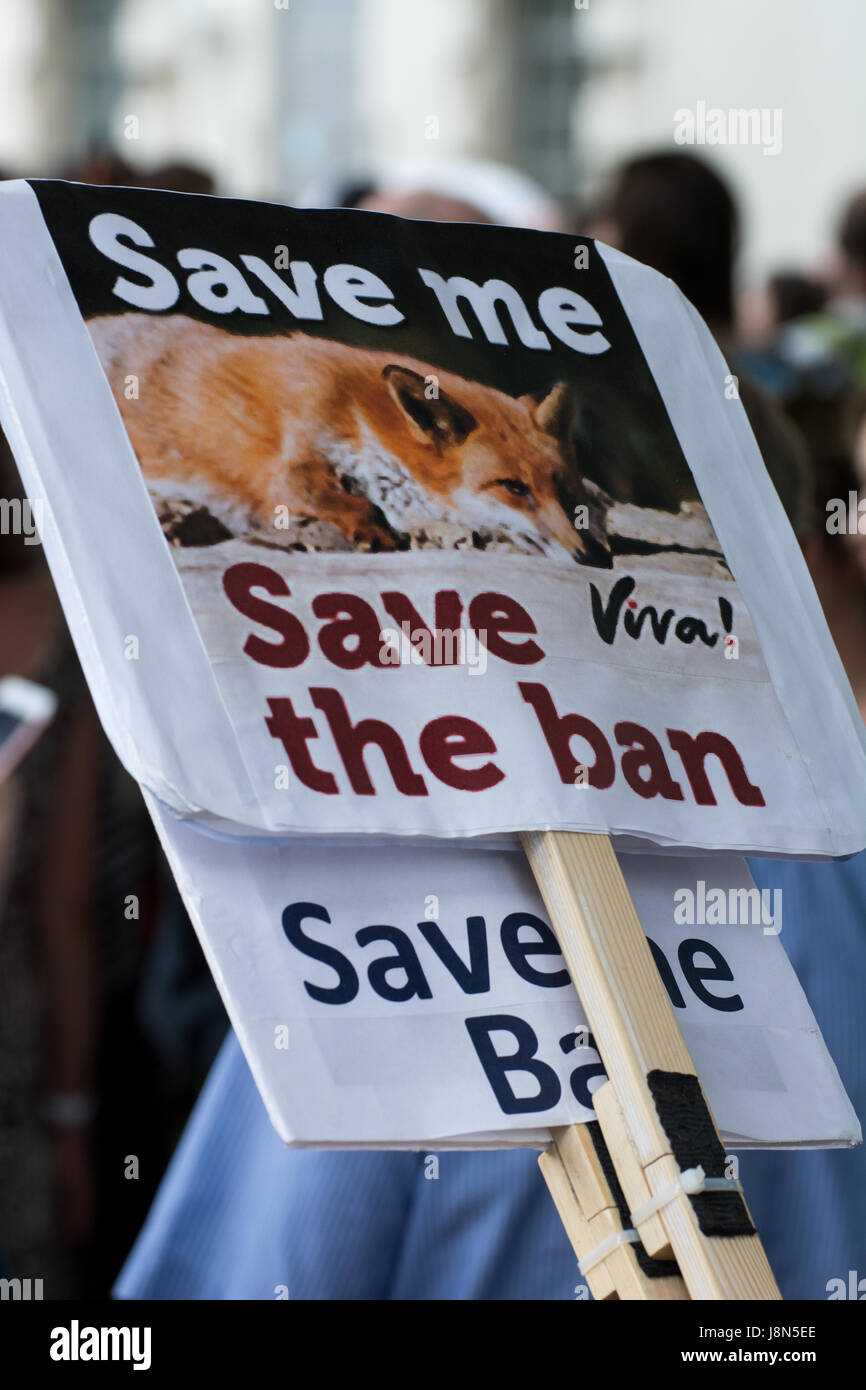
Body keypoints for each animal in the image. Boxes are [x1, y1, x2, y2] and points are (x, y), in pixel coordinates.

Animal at [86, 312, 608, 561]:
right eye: (514, 488)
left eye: (566, 492)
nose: (594, 558)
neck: (356, 412)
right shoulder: (289, 457)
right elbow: (338, 498)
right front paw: (372, 529)